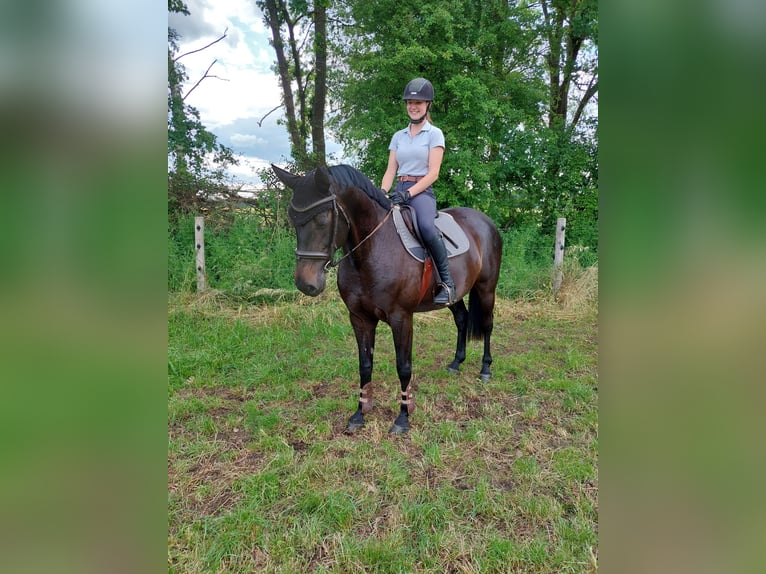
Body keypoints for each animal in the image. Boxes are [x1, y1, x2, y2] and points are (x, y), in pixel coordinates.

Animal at [272, 164, 503, 434]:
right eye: (293, 219)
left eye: (322, 219)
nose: (305, 283)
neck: (372, 249)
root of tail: (485, 221)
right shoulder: (359, 318)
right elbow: (364, 365)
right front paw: (360, 413)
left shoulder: (401, 318)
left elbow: (403, 367)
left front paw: (403, 417)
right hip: (454, 296)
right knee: (462, 320)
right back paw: (456, 363)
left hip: (487, 289)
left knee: (487, 325)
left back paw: (485, 369)